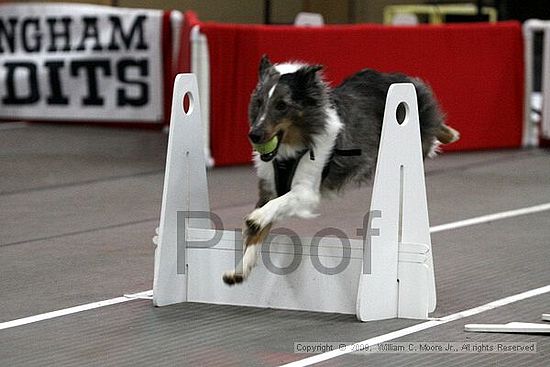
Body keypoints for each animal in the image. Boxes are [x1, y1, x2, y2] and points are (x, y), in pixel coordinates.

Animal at [222, 55, 460, 284]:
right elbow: (258, 233)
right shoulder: (269, 188)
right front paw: (240, 270)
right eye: (259, 103)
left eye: (282, 105)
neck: (291, 148)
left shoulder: (307, 192)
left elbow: (277, 205)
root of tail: (400, 78)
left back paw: (450, 134)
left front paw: (256, 217)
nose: (254, 135)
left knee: (433, 126)